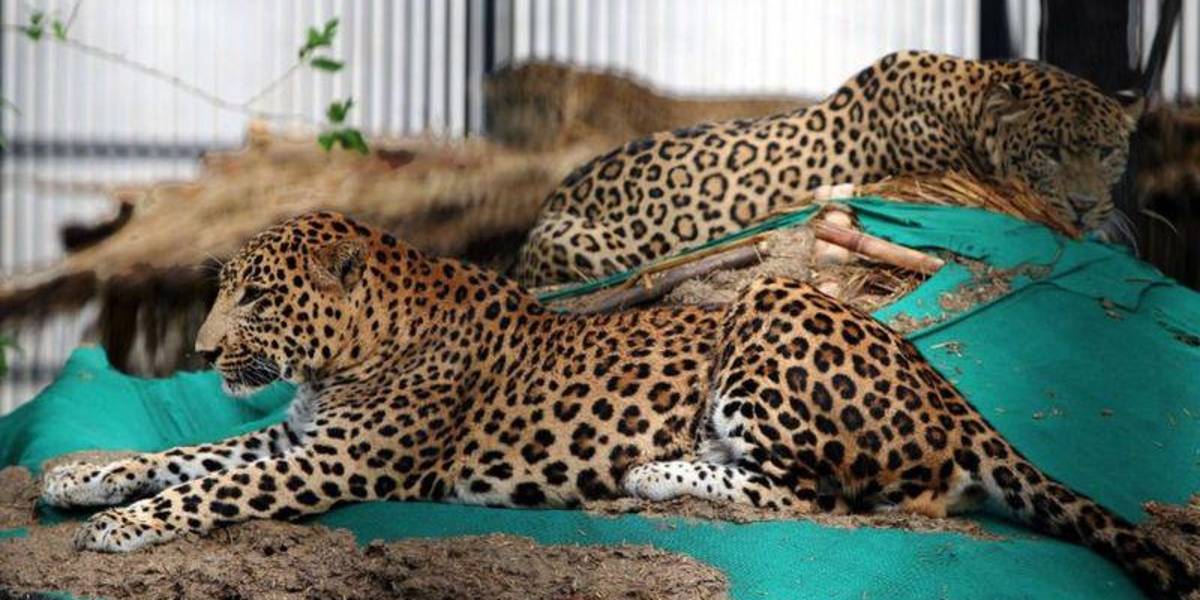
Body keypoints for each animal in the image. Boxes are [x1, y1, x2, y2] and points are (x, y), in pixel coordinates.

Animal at [41, 212, 1195, 598]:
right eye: (227, 291)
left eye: (258, 297)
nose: (203, 350)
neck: (350, 354)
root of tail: (948, 391)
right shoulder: (298, 438)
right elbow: (195, 457)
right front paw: (80, 473)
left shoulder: (340, 463)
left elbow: (211, 487)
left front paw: (121, 527)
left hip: (769, 308)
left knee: (820, 497)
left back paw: (649, 472)